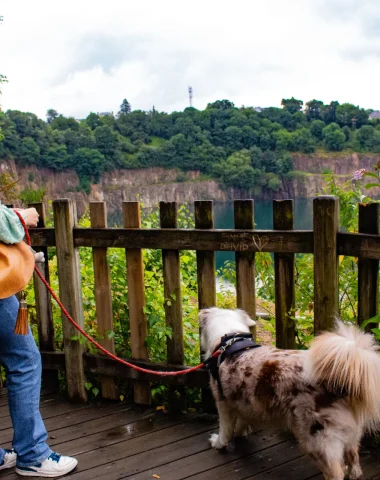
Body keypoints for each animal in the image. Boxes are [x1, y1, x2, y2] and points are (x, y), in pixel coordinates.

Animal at [200, 308, 380, 480]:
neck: (230, 340)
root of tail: (338, 381)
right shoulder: (243, 401)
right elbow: (241, 422)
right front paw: (240, 432)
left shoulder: (222, 403)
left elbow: (225, 429)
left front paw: (218, 443)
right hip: (352, 434)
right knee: (354, 460)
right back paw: (354, 472)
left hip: (317, 437)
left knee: (335, 473)